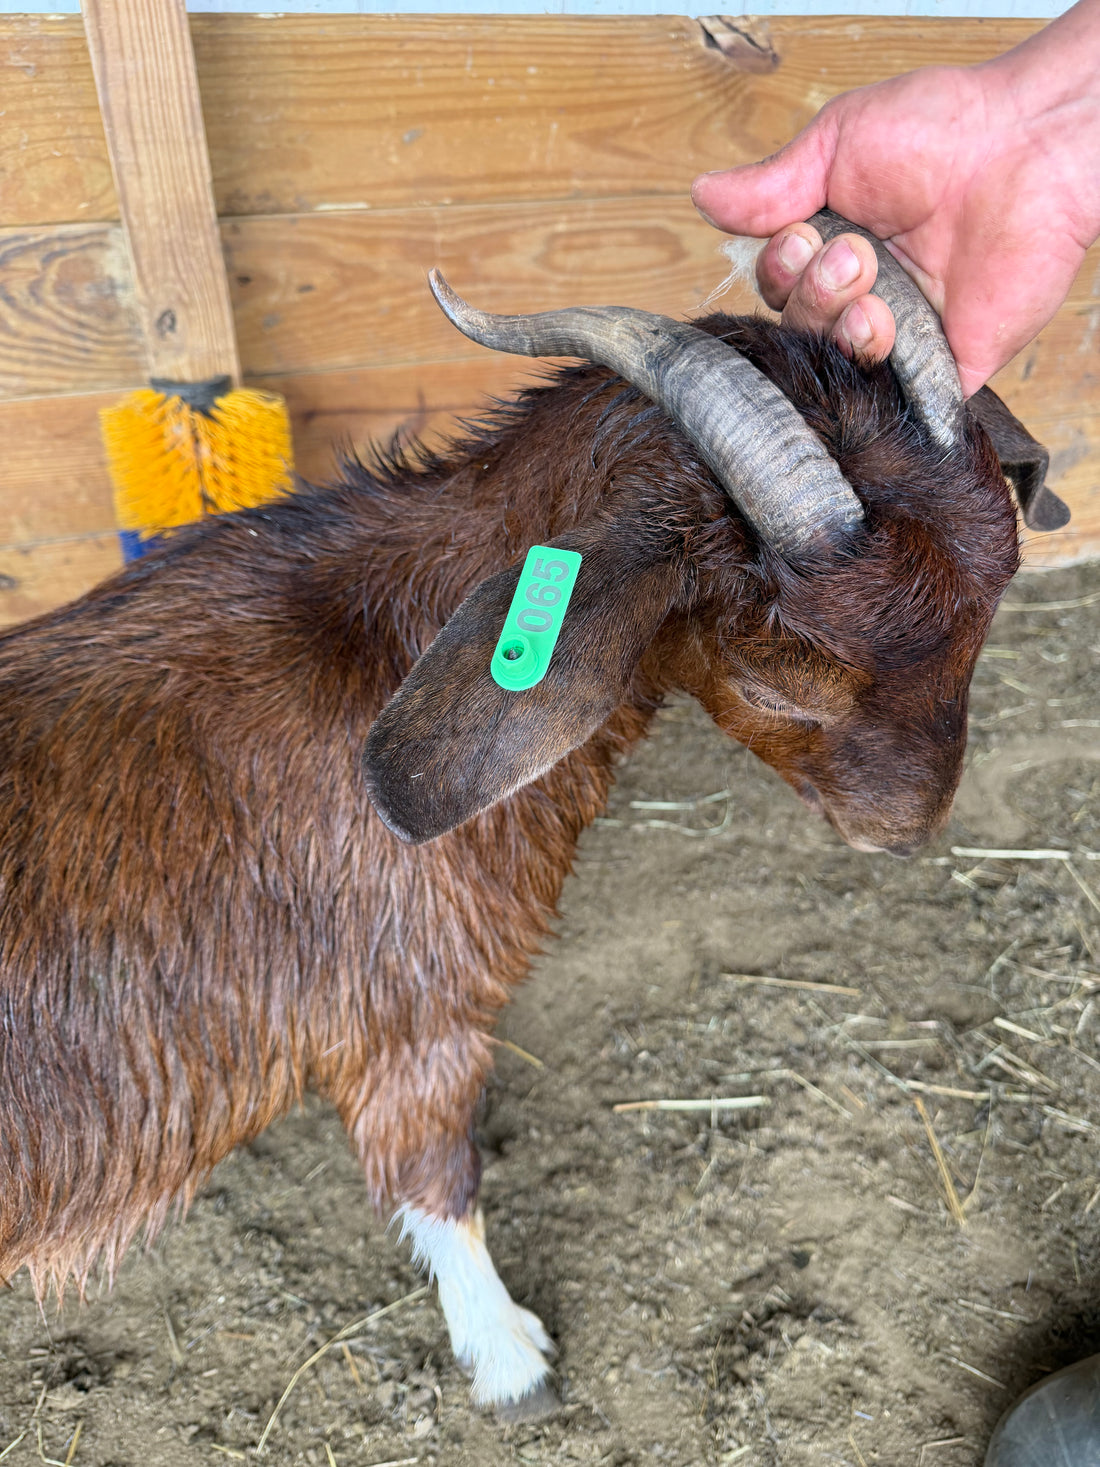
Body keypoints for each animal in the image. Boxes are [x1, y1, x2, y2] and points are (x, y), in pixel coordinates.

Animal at [0, 212, 1062, 1414]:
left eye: (990, 610)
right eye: (784, 679)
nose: (908, 826)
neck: (389, 647)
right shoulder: (408, 1003)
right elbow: (434, 1171)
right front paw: (510, 1357)